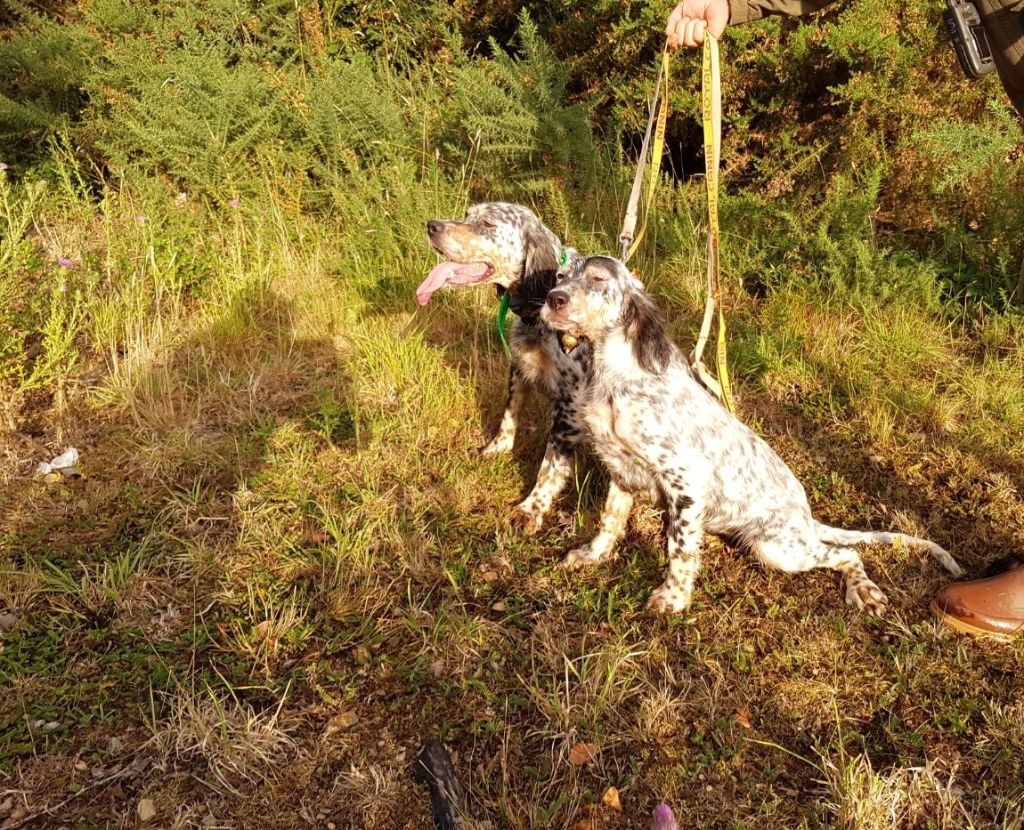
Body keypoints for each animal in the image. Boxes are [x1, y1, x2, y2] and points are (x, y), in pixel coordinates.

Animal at [415, 204, 589, 536]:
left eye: (487, 223)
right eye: (468, 214)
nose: (431, 226)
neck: (537, 313)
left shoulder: (570, 404)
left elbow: (549, 465)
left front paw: (531, 508)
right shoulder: (518, 368)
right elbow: (509, 416)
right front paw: (497, 448)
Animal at [540, 256, 962, 614]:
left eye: (598, 280)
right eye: (560, 276)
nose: (552, 299)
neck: (615, 378)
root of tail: (806, 517)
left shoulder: (684, 480)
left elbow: (679, 549)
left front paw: (673, 598)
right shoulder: (622, 472)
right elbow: (609, 521)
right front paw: (592, 555)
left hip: (780, 549)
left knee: (846, 554)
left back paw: (864, 591)